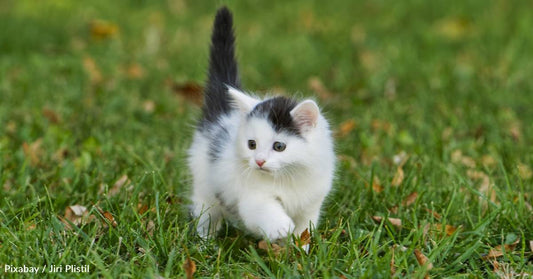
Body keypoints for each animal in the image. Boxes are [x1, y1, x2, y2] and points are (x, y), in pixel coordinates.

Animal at [189, 7, 334, 243]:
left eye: (279, 146)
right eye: (251, 144)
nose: (259, 161)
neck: (288, 178)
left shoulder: (311, 203)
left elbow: (304, 229)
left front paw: (297, 248)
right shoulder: (250, 196)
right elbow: (263, 210)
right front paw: (281, 227)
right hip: (204, 183)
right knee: (206, 213)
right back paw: (204, 243)